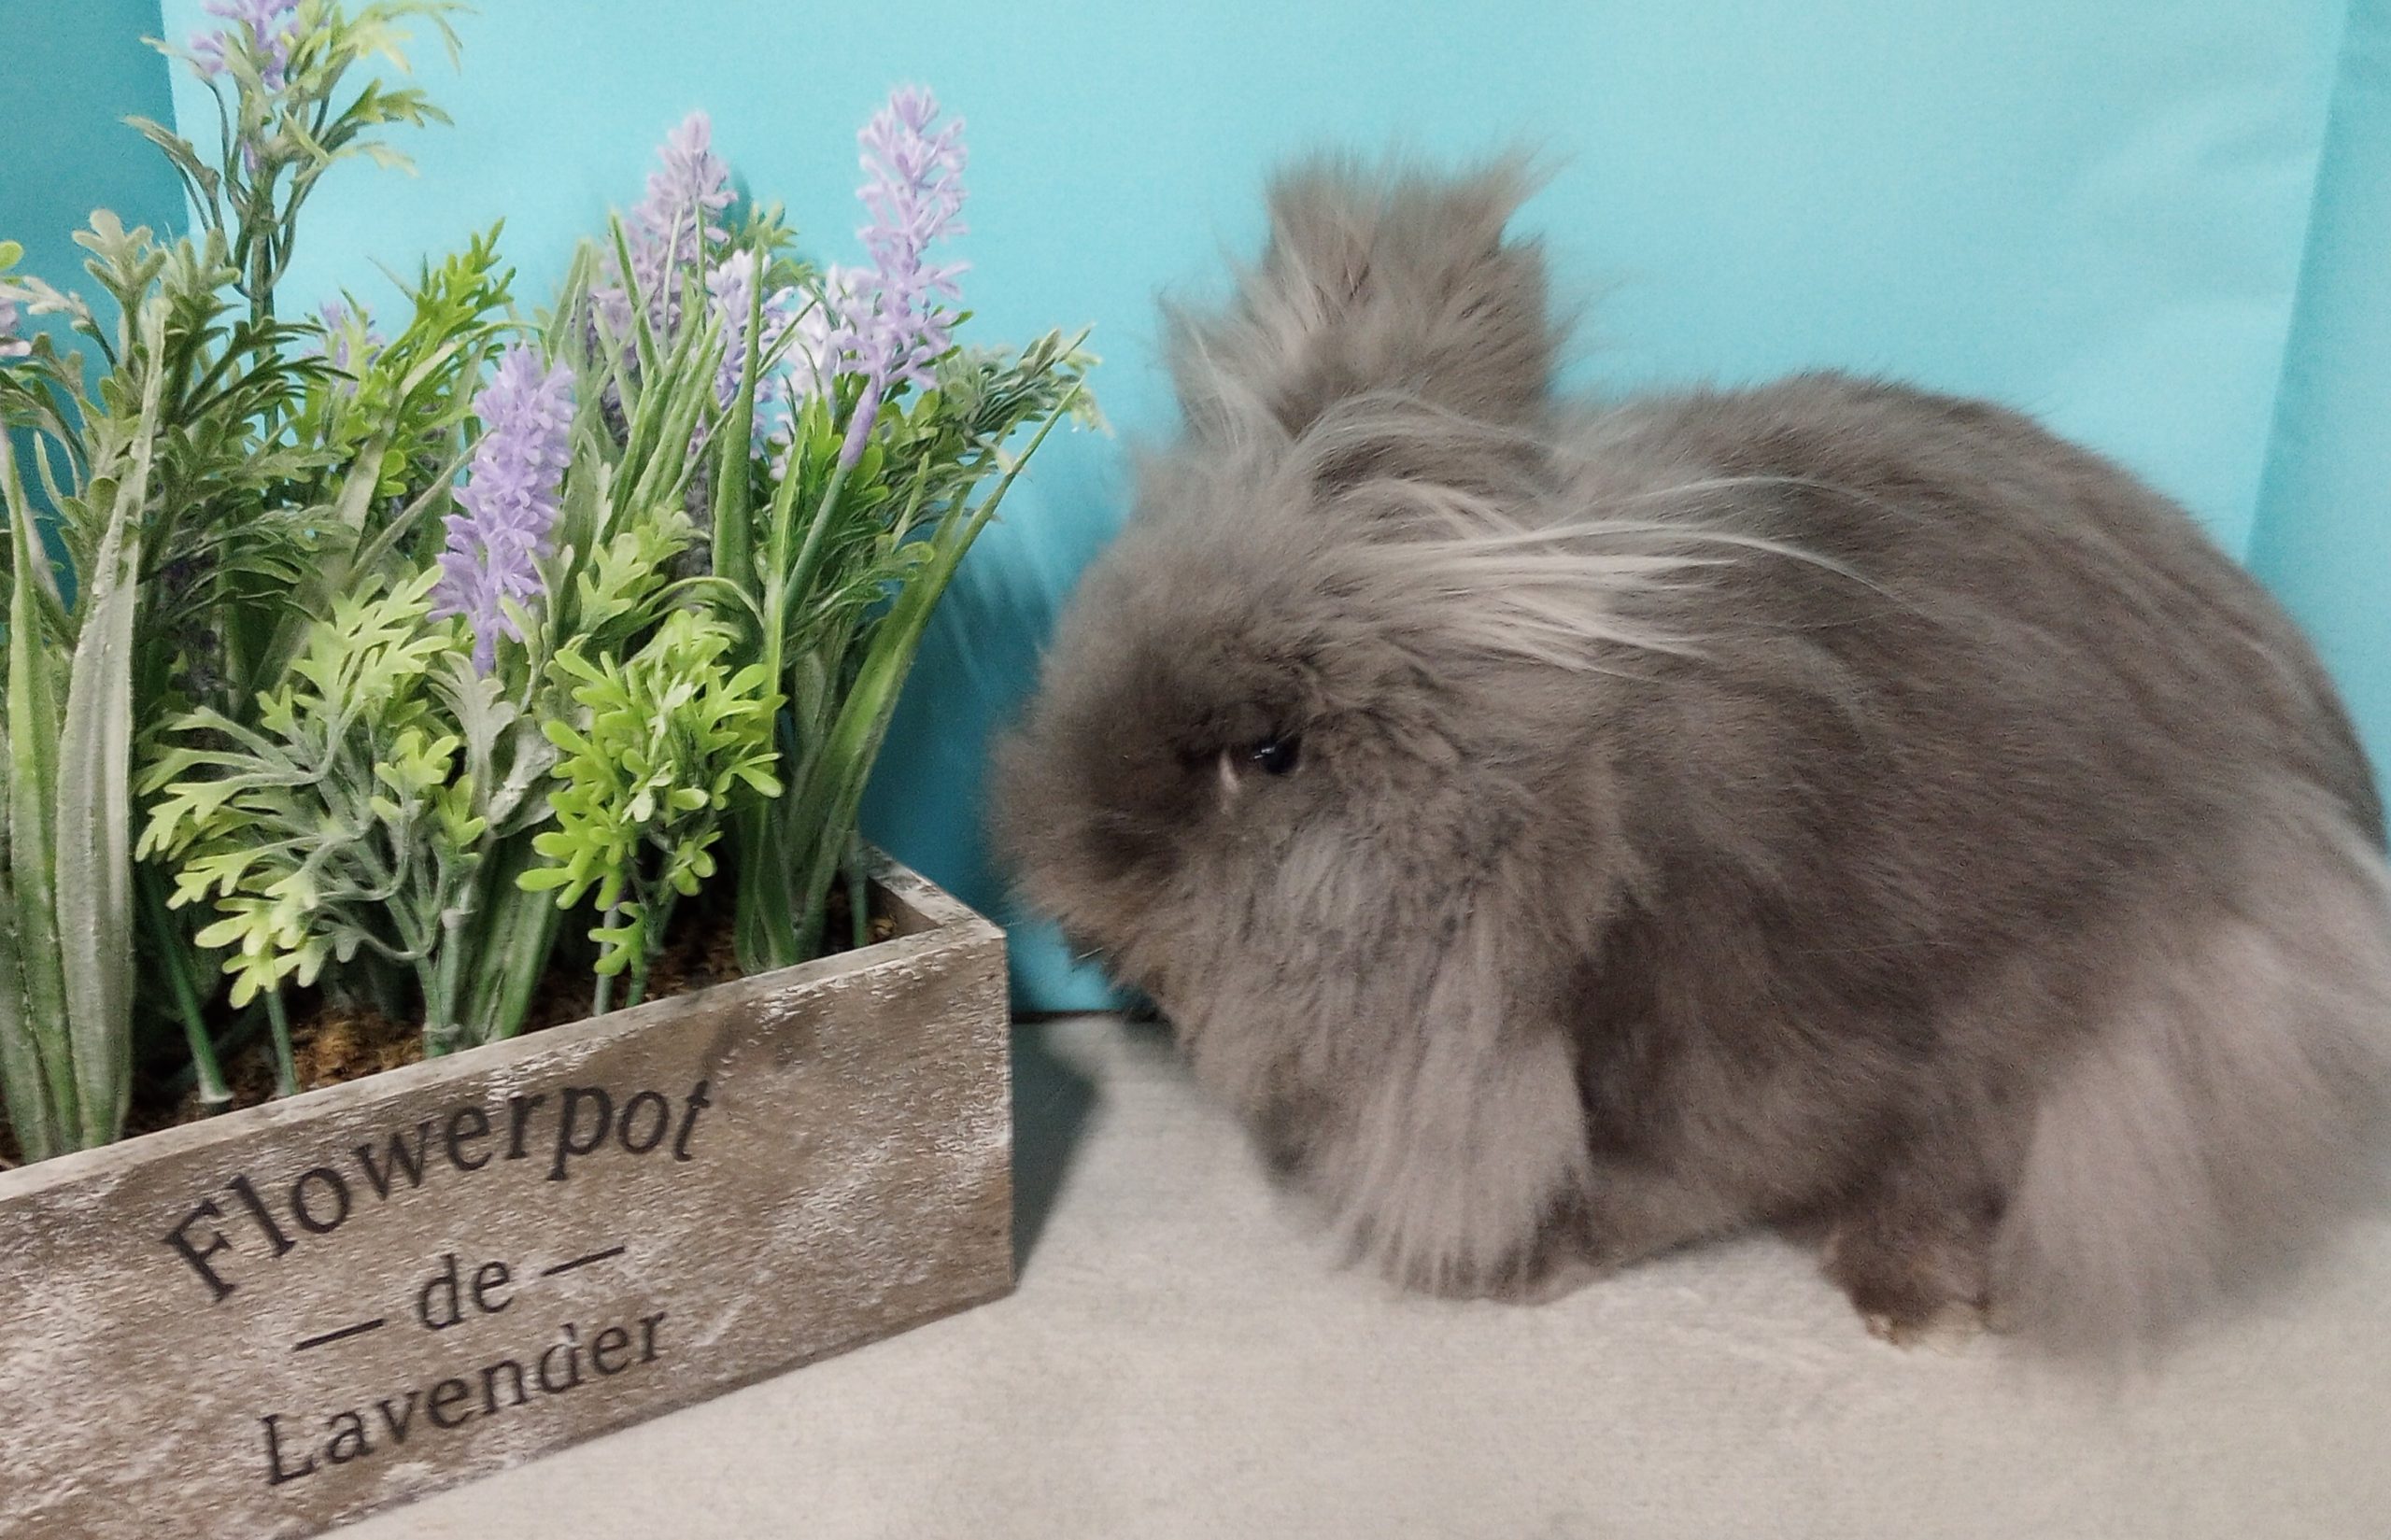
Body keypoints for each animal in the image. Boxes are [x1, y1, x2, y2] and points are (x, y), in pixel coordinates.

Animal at [990, 155, 2391, 1354]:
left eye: (1270, 750)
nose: (1070, 878)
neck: (1561, 822)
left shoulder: (1764, 1039)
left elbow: (1676, 1172)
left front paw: (1537, 1260)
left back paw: (1907, 1296)